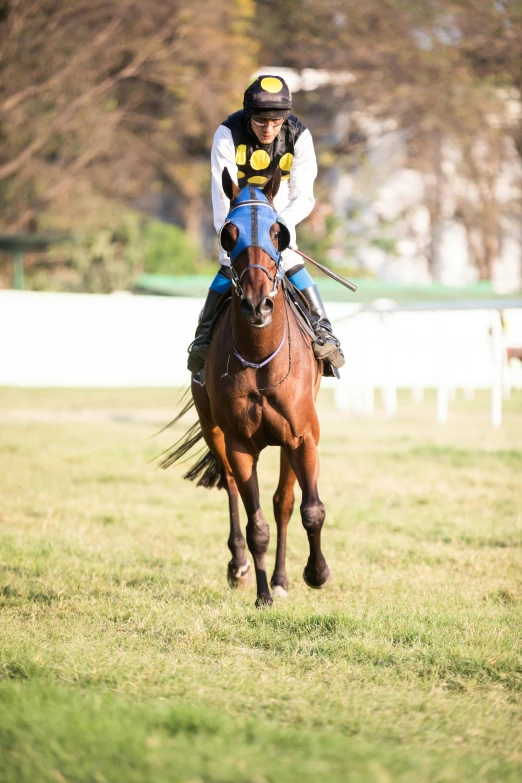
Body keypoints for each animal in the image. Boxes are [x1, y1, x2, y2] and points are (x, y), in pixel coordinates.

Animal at [162, 165, 332, 608]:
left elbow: (308, 509)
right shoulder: (238, 441)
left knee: (283, 503)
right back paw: (239, 566)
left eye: (278, 232)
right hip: (214, 432)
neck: (260, 358)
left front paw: (314, 573)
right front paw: (262, 595)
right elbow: (256, 524)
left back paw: (283, 577)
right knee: (233, 492)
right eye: (229, 234)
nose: (257, 304)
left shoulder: (302, 435)